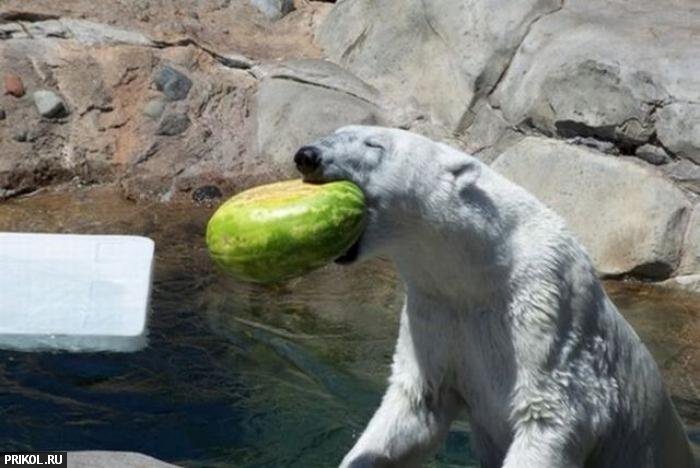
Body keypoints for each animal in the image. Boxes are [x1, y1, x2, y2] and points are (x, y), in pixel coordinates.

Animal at [293, 125, 695, 468]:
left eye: (374, 144)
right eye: (334, 130)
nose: (307, 155)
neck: (481, 271)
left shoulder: (546, 307)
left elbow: (549, 413)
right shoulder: (436, 309)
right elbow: (419, 403)